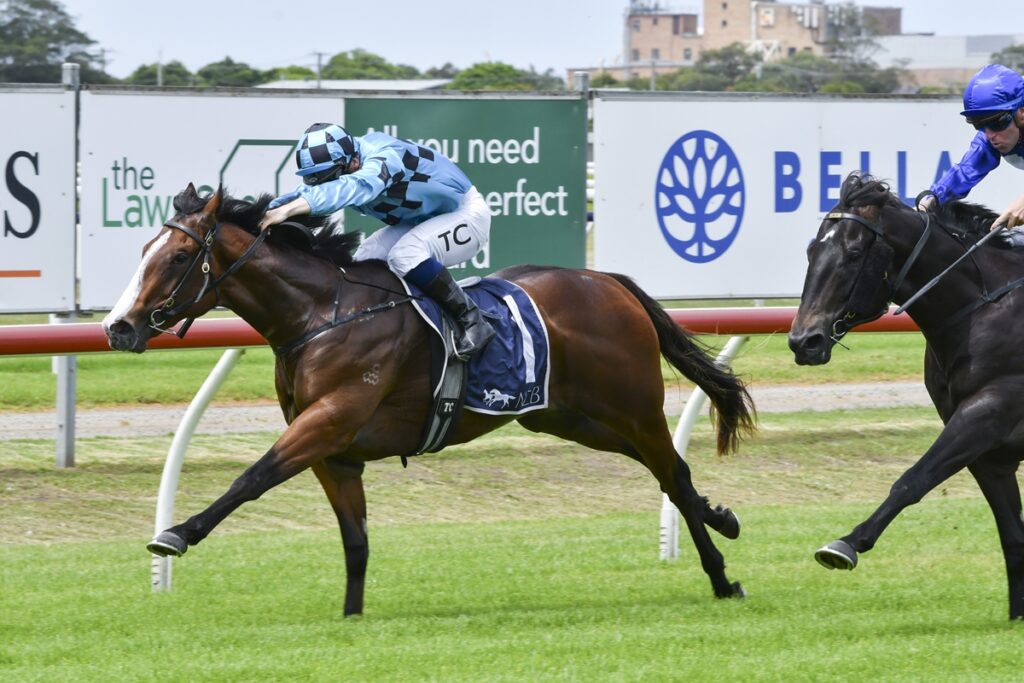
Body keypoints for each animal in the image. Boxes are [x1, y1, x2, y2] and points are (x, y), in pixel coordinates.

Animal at [102, 183, 756, 616]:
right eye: (142, 252)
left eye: (178, 257)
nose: (118, 327)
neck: (320, 315)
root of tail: (608, 282)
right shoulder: (336, 454)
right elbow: (356, 540)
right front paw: (351, 618)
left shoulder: (328, 422)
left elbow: (252, 477)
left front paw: (176, 534)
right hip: (572, 417)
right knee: (669, 471)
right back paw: (722, 519)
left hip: (630, 405)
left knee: (672, 473)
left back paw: (722, 578)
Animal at [789, 171, 1024, 620]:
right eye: (810, 250)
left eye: (854, 253)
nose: (803, 341)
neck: (986, 309)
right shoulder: (986, 448)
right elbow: (1012, 533)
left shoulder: (989, 411)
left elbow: (912, 480)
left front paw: (845, 545)